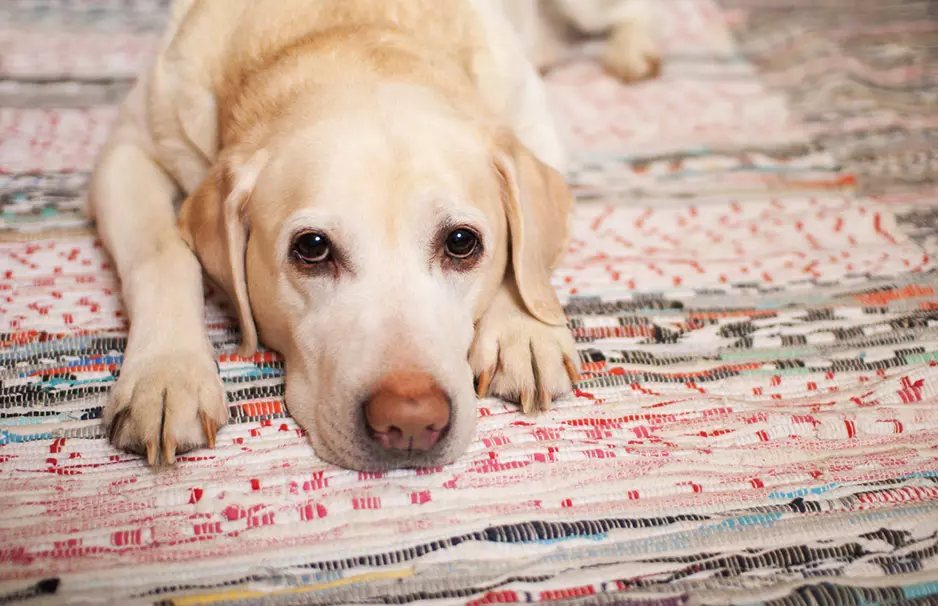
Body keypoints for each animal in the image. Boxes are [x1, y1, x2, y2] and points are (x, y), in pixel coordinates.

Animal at [88, 0, 660, 476]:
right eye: (312, 248)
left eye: (461, 242)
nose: (410, 421)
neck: (345, 27)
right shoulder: (127, 151)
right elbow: (162, 253)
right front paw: (167, 376)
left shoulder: (533, 126)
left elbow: (526, 261)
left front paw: (525, 330)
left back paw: (634, 51)